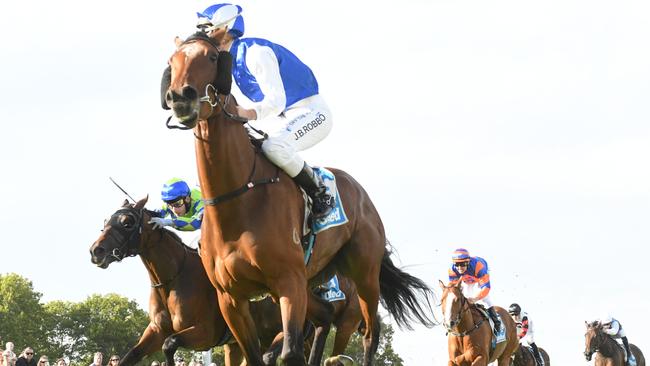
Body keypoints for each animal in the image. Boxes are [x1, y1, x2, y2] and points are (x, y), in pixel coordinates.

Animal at [162, 33, 436, 364]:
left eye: (212, 57)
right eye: (172, 61)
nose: (180, 97)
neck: (237, 201)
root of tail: (363, 196)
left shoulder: (288, 282)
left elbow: (289, 352)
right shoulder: (232, 299)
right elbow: (255, 355)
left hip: (364, 274)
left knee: (371, 332)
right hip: (314, 280)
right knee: (326, 316)